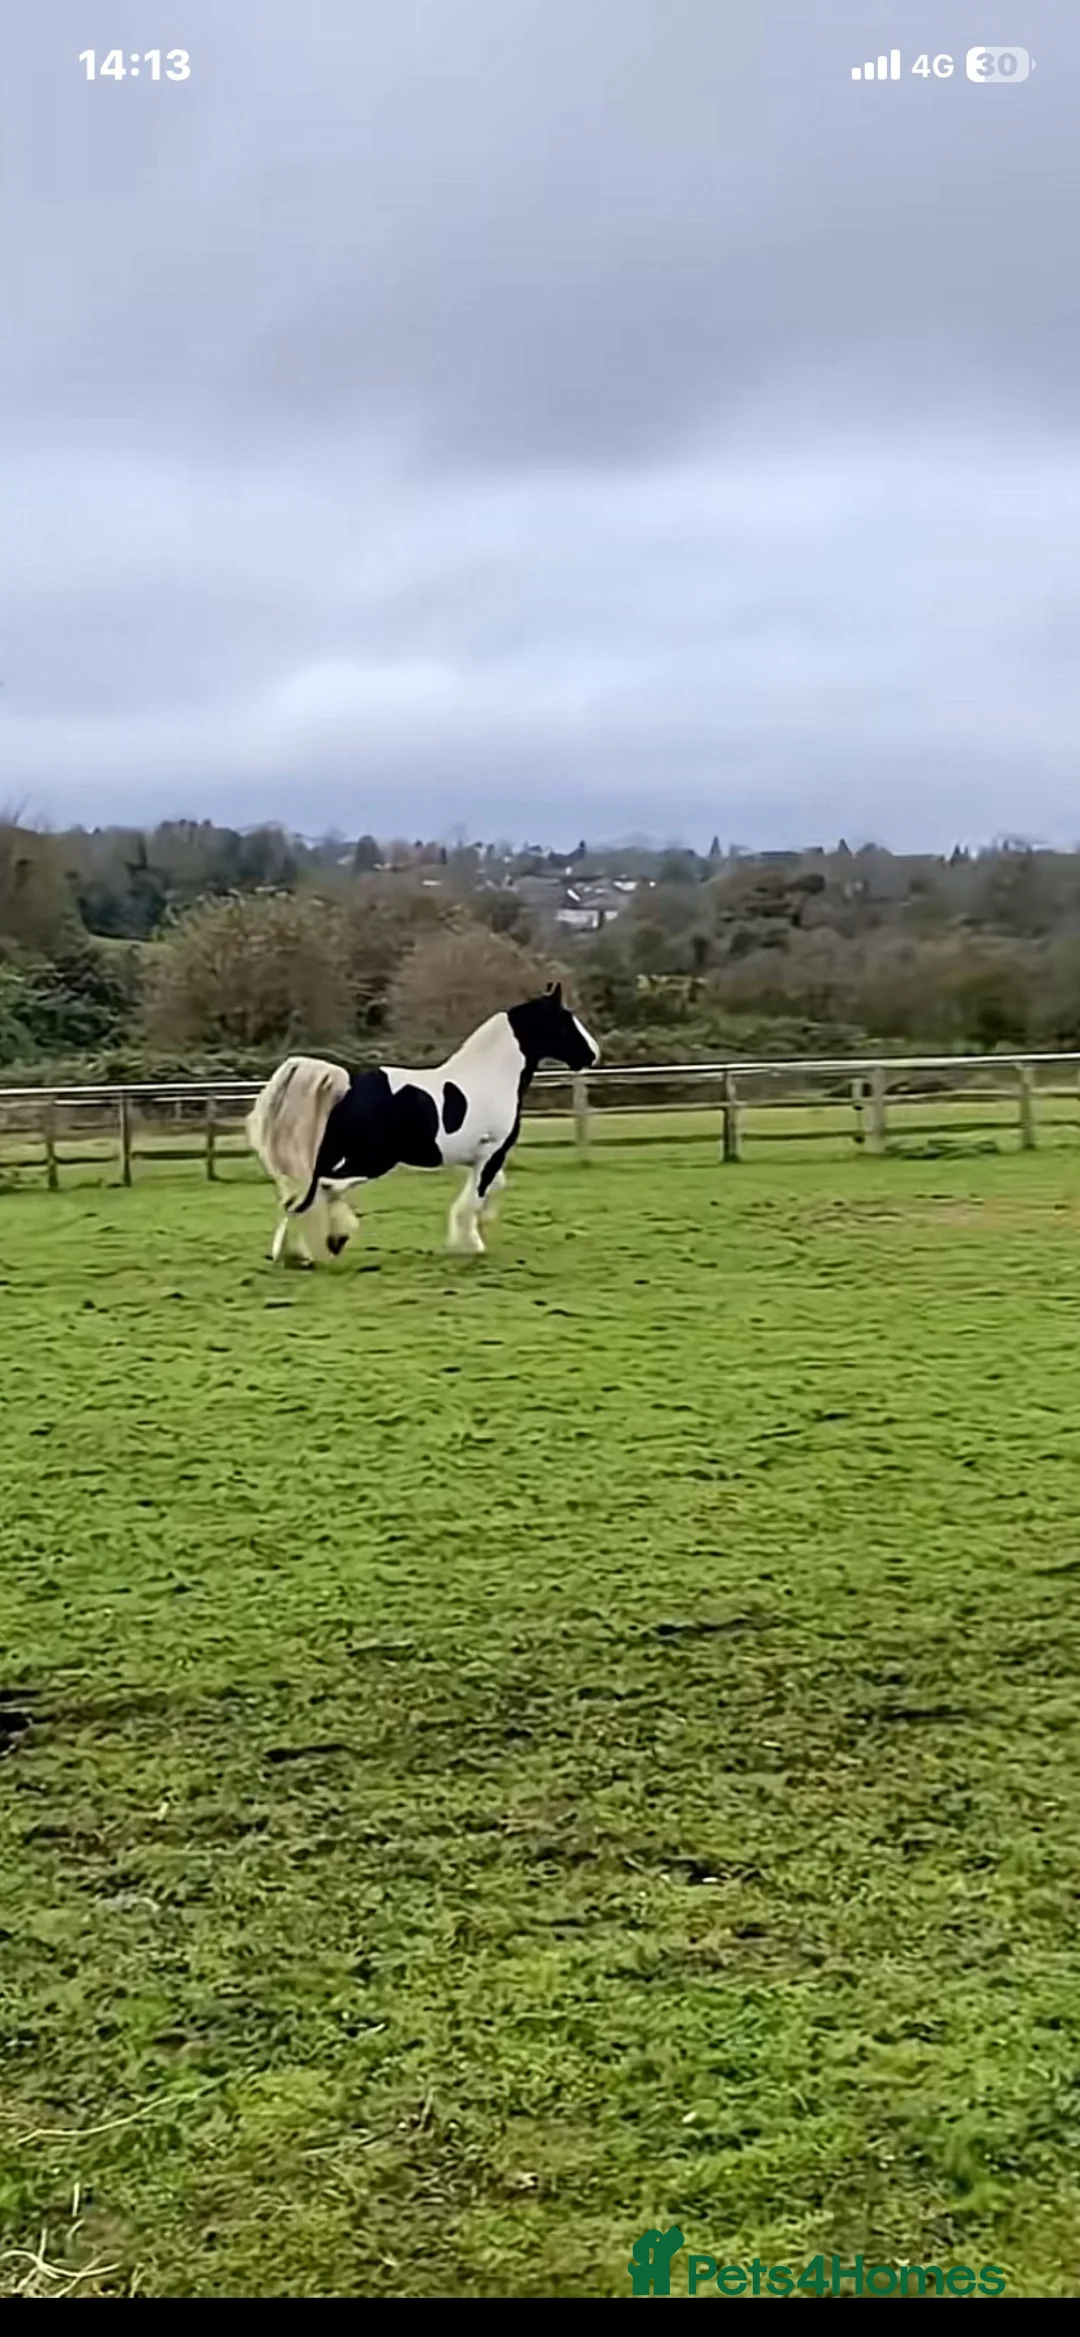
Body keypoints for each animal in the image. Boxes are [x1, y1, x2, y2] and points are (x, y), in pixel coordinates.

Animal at [245, 983, 599, 1266]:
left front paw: (479, 1225)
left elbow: (492, 1187)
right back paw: (331, 1240)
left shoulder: (476, 1157)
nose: (593, 1054)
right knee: (323, 1189)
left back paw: (294, 1253)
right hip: (372, 1159)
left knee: (300, 1196)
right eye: (565, 1020)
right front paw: (471, 1244)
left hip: (344, 1155)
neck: (492, 1076)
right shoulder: (492, 1151)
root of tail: (345, 1085)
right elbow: (475, 1195)